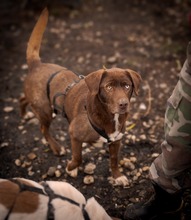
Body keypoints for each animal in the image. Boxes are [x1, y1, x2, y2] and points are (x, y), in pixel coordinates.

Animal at [20, 8, 141, 186]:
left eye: (127, 86)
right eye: (109, 87)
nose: (123, 104)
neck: (109, 116)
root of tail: (37, 64)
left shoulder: (116, 141)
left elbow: (114, 160)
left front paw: (117, 176)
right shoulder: (74, 134)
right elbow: (78, 158)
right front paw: (70, 169)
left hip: (37, 103)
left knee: (23, 99)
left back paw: (24, 114)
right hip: (45, 110)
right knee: (44, 128)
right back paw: (57, 148)